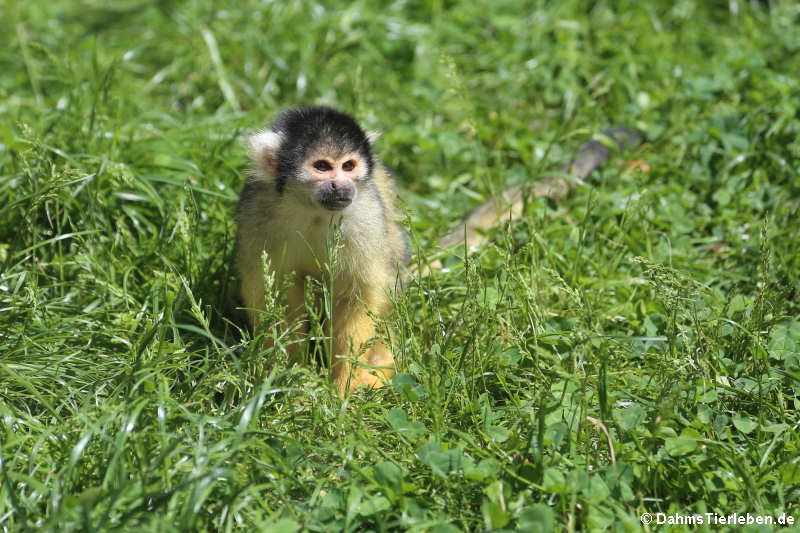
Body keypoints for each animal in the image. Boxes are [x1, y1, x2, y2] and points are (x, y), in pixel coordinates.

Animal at [233, 106, 406, 394]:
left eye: (348, 166)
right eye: (322, 166)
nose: (341, 185)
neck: (314, 210)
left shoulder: (366, 217)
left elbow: (356, 298)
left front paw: (345, 385)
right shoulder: (257, 215)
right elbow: (278, 297)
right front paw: (292, 382)